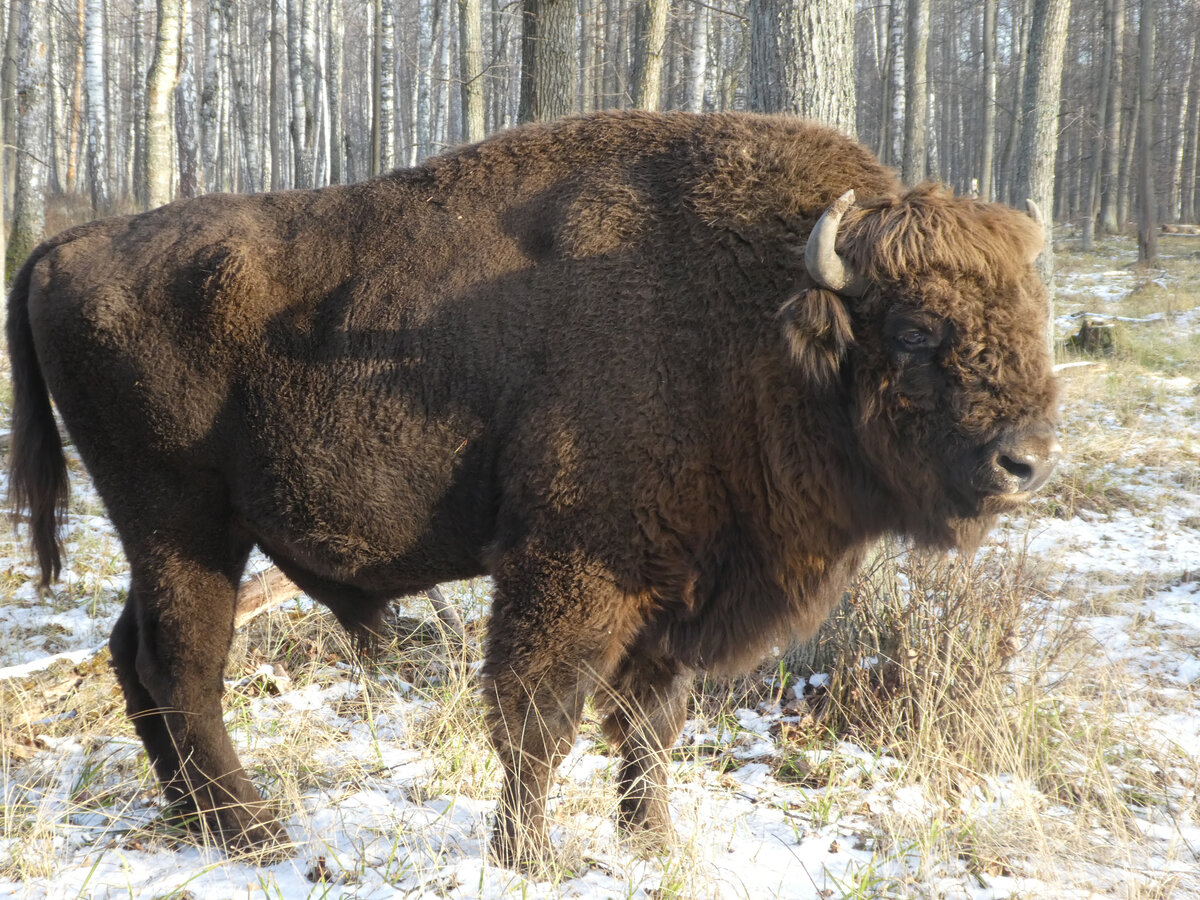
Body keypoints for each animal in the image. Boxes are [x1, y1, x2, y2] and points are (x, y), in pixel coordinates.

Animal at [9, 111, 1060, 868]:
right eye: (916, 331)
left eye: (1031, 316)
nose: (1026, 461)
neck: (762, 318)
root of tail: (65, 249)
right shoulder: (573, 566)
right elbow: (541, 718)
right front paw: (530, 856)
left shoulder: (677, 585)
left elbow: (650, 725)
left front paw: (650, 842)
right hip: (183, 524)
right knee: (183, 670)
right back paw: (253, 834)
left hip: (170, 538)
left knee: (133, 658)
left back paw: (196, 823)